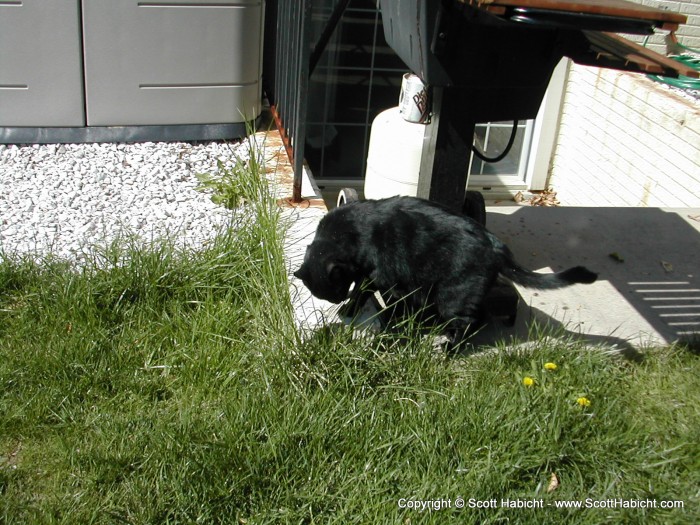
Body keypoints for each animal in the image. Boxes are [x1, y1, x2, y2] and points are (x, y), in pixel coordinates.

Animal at [294, 196, 596, 340]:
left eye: (334, 291)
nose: (336, 300)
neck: (344, 234)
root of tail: (496, 243)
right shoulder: (367, 276)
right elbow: (361, 292)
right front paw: (349, 310)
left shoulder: (386, 279)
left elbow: (388, 304)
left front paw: (391, 327)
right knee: (478, 317)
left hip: (452, 294)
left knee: (467, 321)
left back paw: (446, 348)